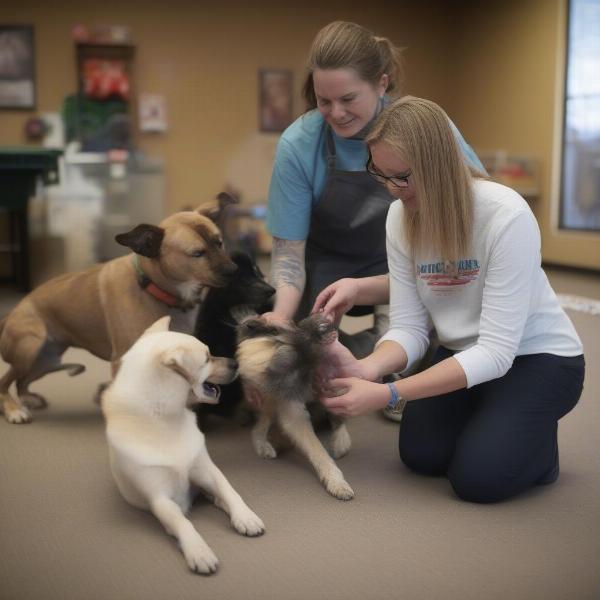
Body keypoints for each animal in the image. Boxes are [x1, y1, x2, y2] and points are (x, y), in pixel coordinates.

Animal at [0, 196, 238, 422]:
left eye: (219, 243)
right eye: (197, 253)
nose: (234, 270)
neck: (155, 289)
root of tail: (13, 311)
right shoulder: (124, 361)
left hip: (46, 359)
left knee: (21, 381)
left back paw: (27, 398)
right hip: (30, 348)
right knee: (5, 381)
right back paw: (13, 410)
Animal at [102, 316, 264, 576]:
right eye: (207, 358)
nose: (237, 362)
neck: (167, 419)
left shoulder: (208, 471)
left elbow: (230, 491)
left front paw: (245, 516)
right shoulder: (159, 500)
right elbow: (182, 522)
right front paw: (198, 551)